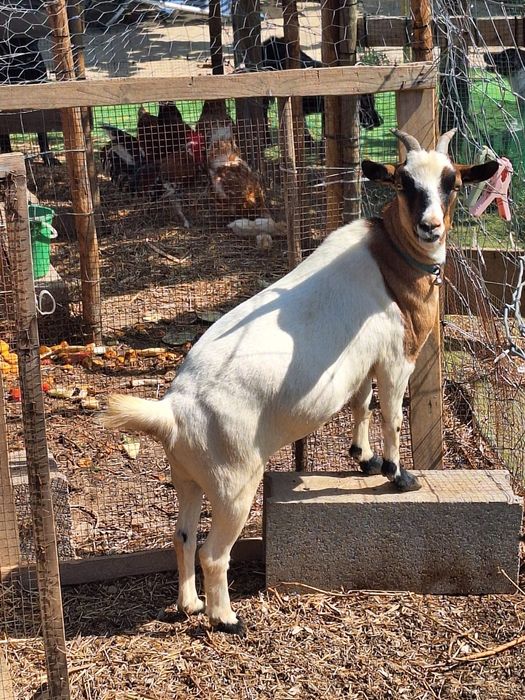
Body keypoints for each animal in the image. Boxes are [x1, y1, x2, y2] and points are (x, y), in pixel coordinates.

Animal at [102, 130, 498, 636]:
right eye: (404, 182)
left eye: (452, 182)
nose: (430, 227)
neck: (392, 259)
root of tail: (174, 409)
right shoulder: (395, 358)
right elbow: (390, 414)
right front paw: (397, 474)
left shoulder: (363, 363)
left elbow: (361, 405)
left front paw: (363, 459)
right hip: (234, 484)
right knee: (213, 552)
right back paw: (225, 618)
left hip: (188, 477)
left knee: (182, 535)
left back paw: (189, 605)